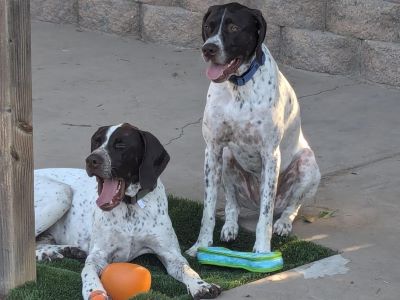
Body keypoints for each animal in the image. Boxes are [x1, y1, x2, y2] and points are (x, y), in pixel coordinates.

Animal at [34, 123, 222, 298]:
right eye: (96, 142)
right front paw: (94, 291)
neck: (130, 207)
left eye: (121, 145)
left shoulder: (171, 254)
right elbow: (87, 271)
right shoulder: (98, 255)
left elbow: (187, 270)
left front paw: (201, 285)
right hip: (62, 193)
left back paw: (61, 251)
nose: (91, 160)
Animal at [186, 1, 320, 255]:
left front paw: (261, 251)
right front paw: (201, 245)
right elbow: (208, 210)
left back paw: (283, 223)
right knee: (232, 205)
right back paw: (229, 227)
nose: (208, 49)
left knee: (290, 207)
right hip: (227, 158)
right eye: (209, 26)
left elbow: (265, 219)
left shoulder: (270, 155)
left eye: (234, 28)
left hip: (308, 165)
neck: (238, 86)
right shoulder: (213, 149)